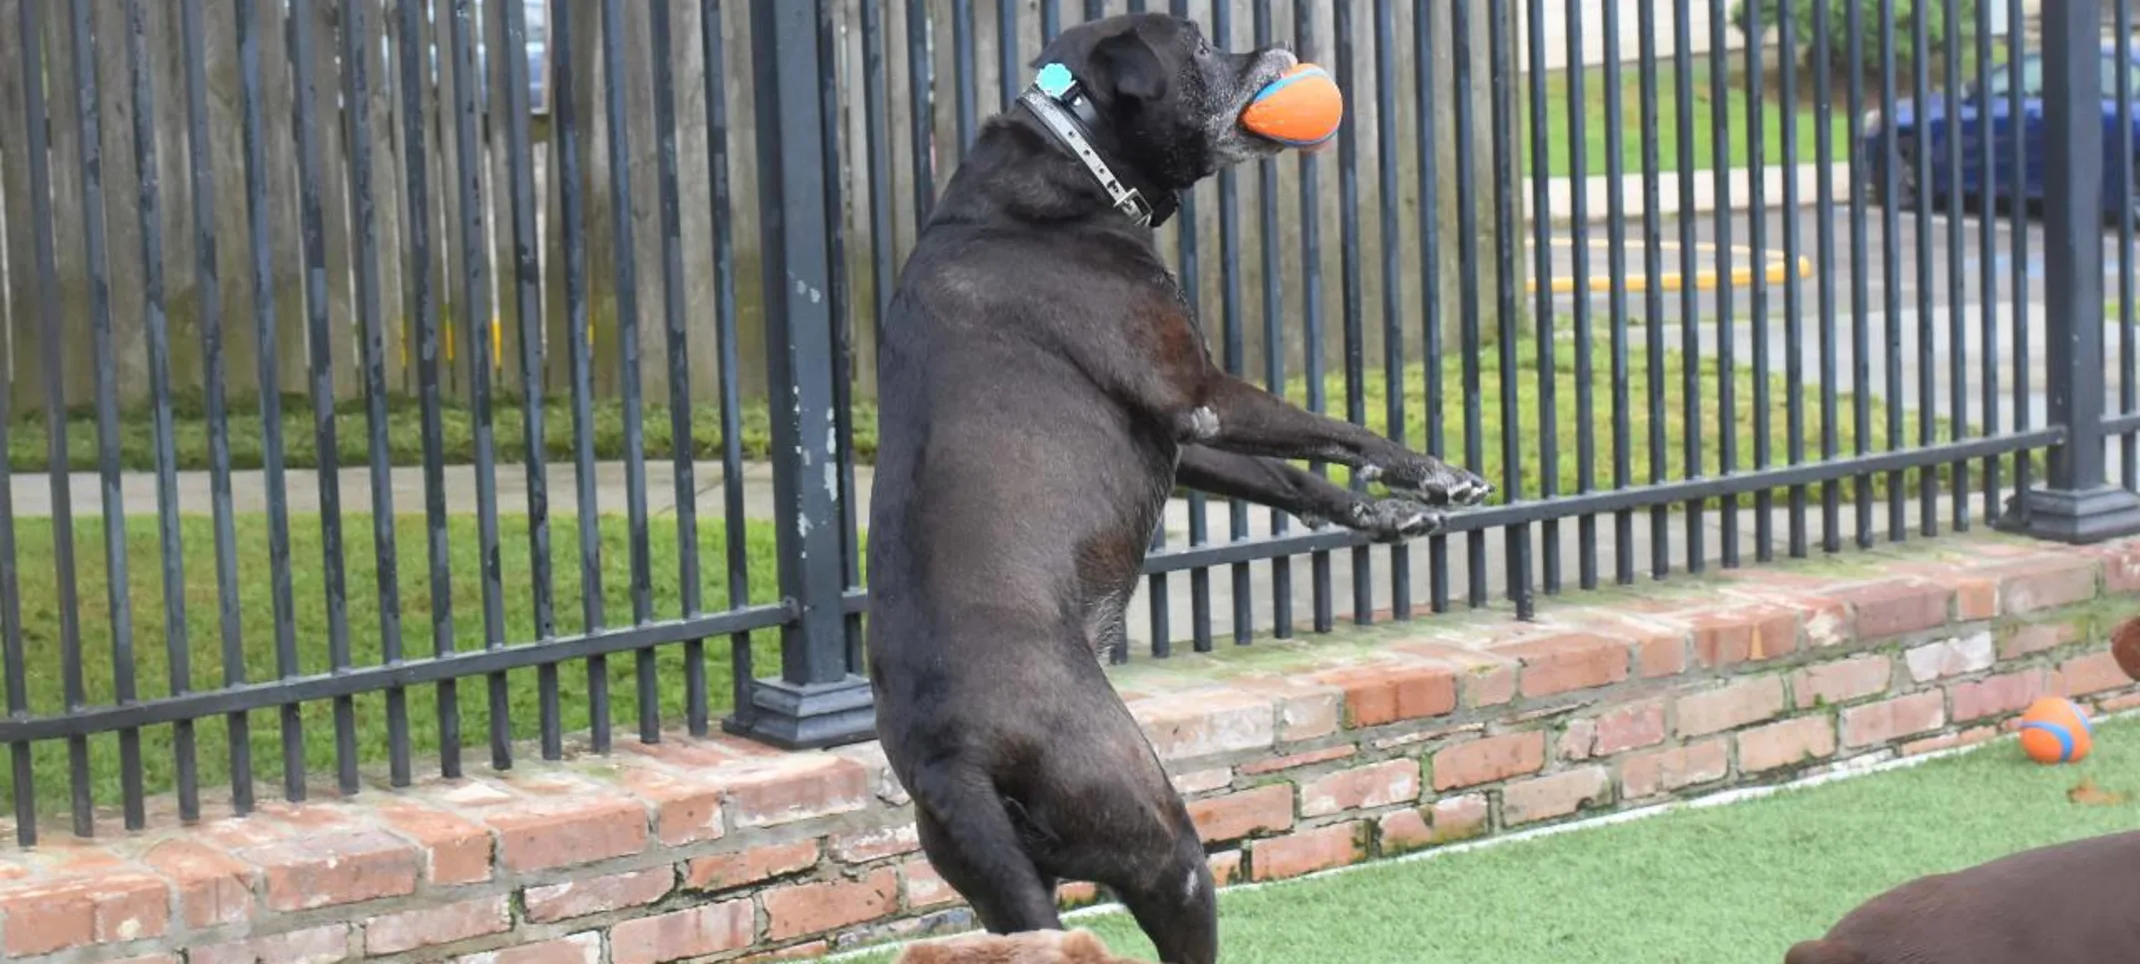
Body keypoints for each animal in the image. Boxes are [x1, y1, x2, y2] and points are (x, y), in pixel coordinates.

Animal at [864, 11, 1489, 959]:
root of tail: (951, 756)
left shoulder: (1182, 438)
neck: (1072, 156)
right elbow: (1335, 429)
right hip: (1162, 843)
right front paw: (1429, 472)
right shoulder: (1201, 395)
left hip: (1010, 893)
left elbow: (1290, 475)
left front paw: (1380, 515)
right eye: (1197, 47)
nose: (1279, 45)